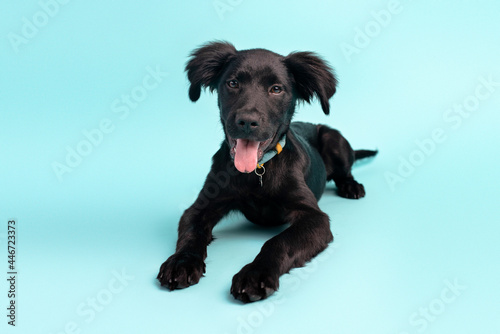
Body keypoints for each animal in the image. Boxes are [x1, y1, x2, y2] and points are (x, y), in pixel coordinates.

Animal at [157, 41, 376, 302]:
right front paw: (181, 262)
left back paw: (351, 186)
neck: (257, 172)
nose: (246, 121)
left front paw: (256, 274)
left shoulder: (314, 218)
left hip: (334, 138)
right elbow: (191, 234)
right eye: (233, 83)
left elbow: (278, 242)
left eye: (276, 89)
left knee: (345, 171)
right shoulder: (201, 207)